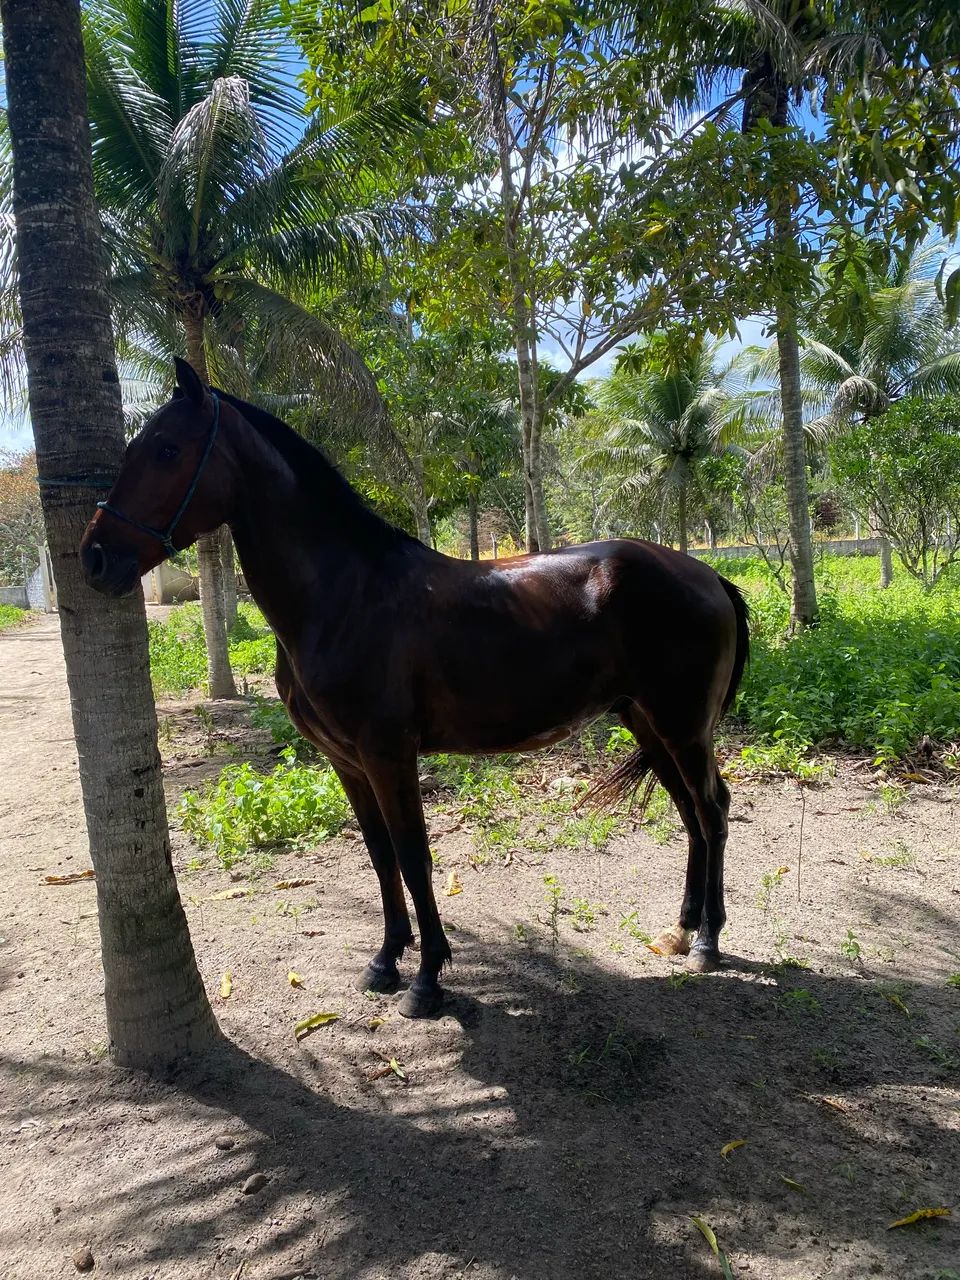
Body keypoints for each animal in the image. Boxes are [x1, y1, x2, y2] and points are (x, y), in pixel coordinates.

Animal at [81, 358, 749, 1017]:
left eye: (167, 449)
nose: (93, 559)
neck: (345, 597)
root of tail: (707, 574)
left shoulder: (388, 755)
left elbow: (413, 855)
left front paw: (427, 979)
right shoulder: (348, 762)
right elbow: (379, 855)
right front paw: (384, 961)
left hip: (684, 728)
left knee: (712, 809)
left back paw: (708, 941)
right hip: (648, 724)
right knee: (690, 813)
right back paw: (681, 929)